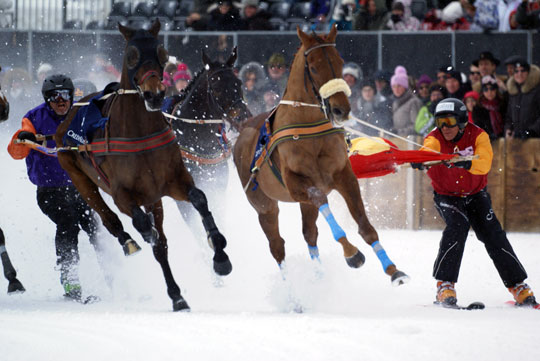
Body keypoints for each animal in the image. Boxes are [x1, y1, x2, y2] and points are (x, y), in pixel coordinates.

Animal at [55, 21, 232, 310]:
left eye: (161, 52)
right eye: (132, 55)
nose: (154, 93)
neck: (139, 133)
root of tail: (68, 114)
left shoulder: (173, 181)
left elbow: (199, 199)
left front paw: (220, 255)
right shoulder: (123, 194)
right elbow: (142, 225)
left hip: (153, 196)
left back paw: (177, 294)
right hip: (77, 174)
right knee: (109, 218)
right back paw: (129, 242)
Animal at [233, 24, 410, 284]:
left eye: (340, 62)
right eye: (314, 67)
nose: (340, 109)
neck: (308, 130)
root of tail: (243, 127)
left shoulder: (344, 176)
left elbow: (365, 226)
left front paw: (393, 269)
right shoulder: (297, 184)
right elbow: (322, 202)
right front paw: (352, 253)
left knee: (310, 234)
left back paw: (318, 276)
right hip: (263, 204)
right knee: (277, 245)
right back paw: (291, 290)